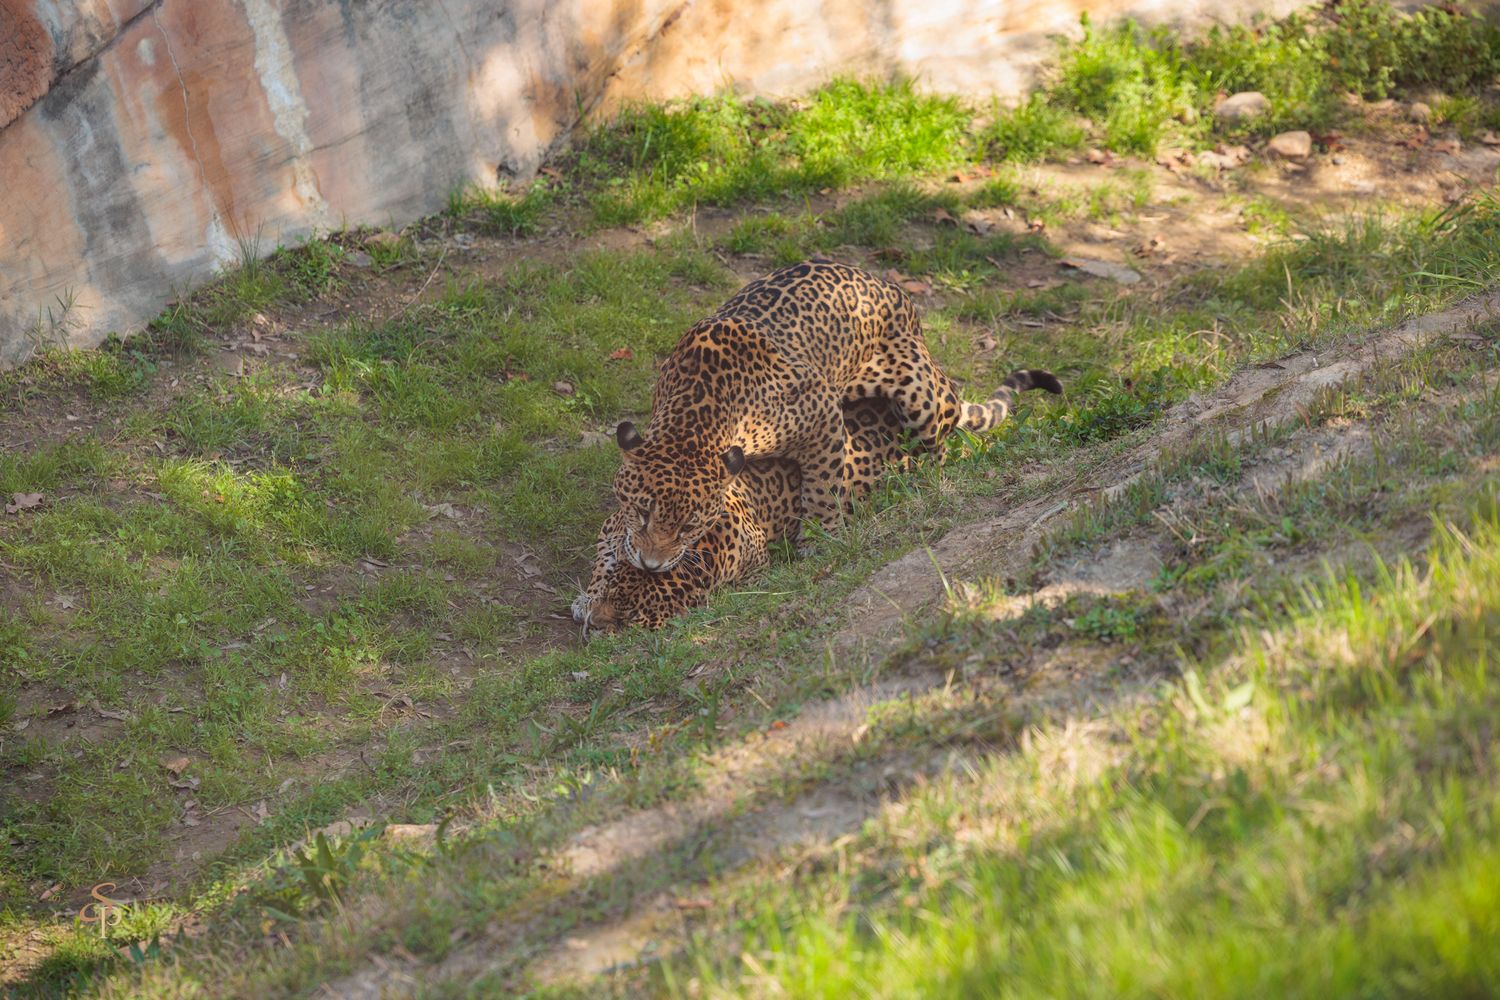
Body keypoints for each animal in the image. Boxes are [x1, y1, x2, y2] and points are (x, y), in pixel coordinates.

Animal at [611, 258, 1061, 575]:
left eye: (690, 526)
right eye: (641, 512)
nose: (650, 565)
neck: (697, 415)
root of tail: (892, 287)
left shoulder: (822, 415)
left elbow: (823, 489)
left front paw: (819, 538)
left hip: (923, 397)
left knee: (943, 437)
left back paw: (928, 479)